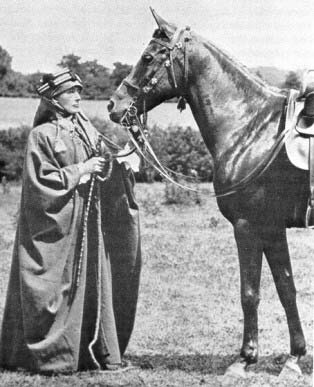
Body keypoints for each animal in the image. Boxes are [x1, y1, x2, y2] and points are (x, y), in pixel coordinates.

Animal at [108, 8, 310, 376]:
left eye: (148, 57)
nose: (113, 105)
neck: (250, 128)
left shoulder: (248, 226)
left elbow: (250, 292)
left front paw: (244, 359)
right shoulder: (272, 228)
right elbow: (286, 288)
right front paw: (293, 358)